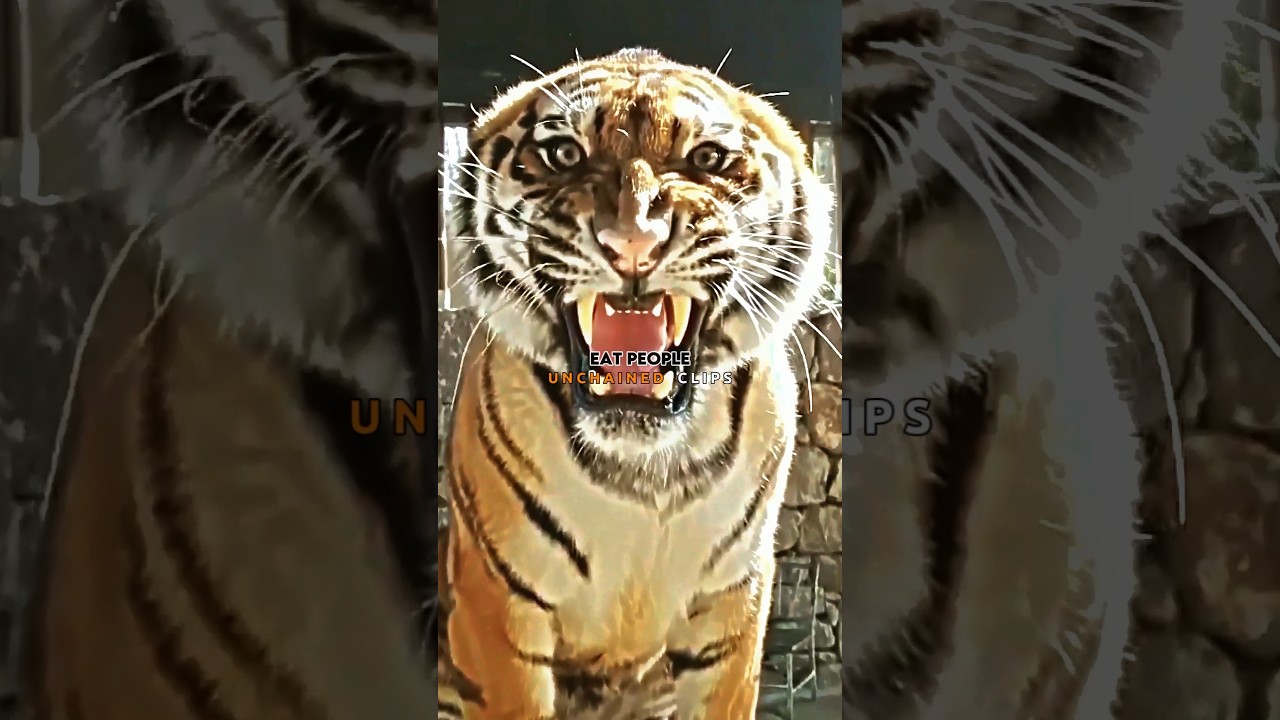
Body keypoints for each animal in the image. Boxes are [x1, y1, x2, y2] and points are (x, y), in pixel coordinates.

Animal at [436, 48, 834, 719]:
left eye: (707, 159)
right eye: (564, 154)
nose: (633, 242)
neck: (646, 469)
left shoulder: (734, 599)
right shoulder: (499, 605)